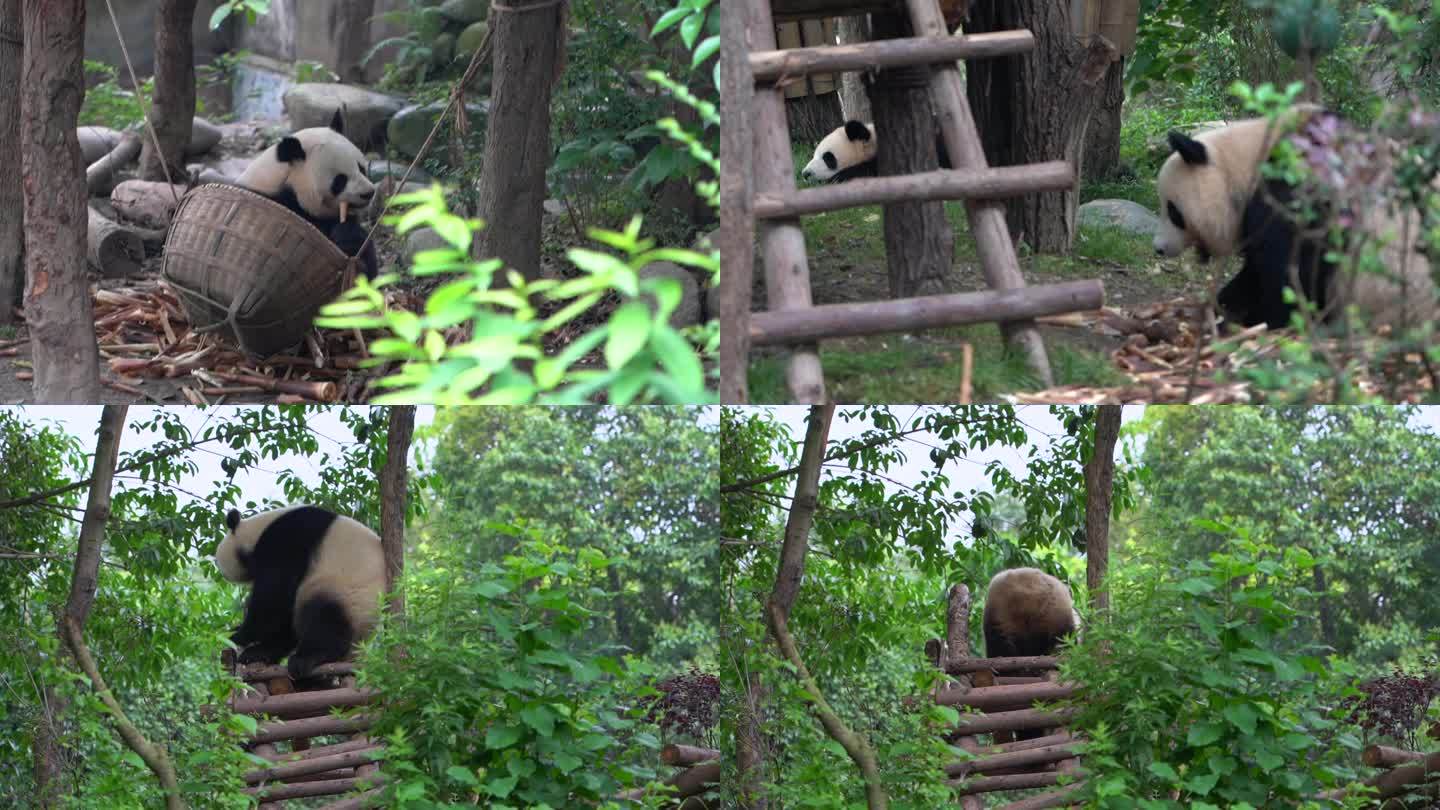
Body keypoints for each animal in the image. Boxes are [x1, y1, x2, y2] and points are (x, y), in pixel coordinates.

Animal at [211, 501, 383, 677]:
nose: (221, 572)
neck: (258, 531)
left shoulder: (286, 542)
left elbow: (273, 597)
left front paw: (237, 634)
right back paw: (259, 654)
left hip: (349, 593)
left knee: (324, 619)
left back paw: (308, 658)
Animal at [1152, 108, 1434, 331]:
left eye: (1173, 212)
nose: (1159, 248)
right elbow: (1255, 271)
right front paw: (1224, 305)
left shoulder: (1296, 190)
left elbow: (1291, 270)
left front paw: (1255, 320)